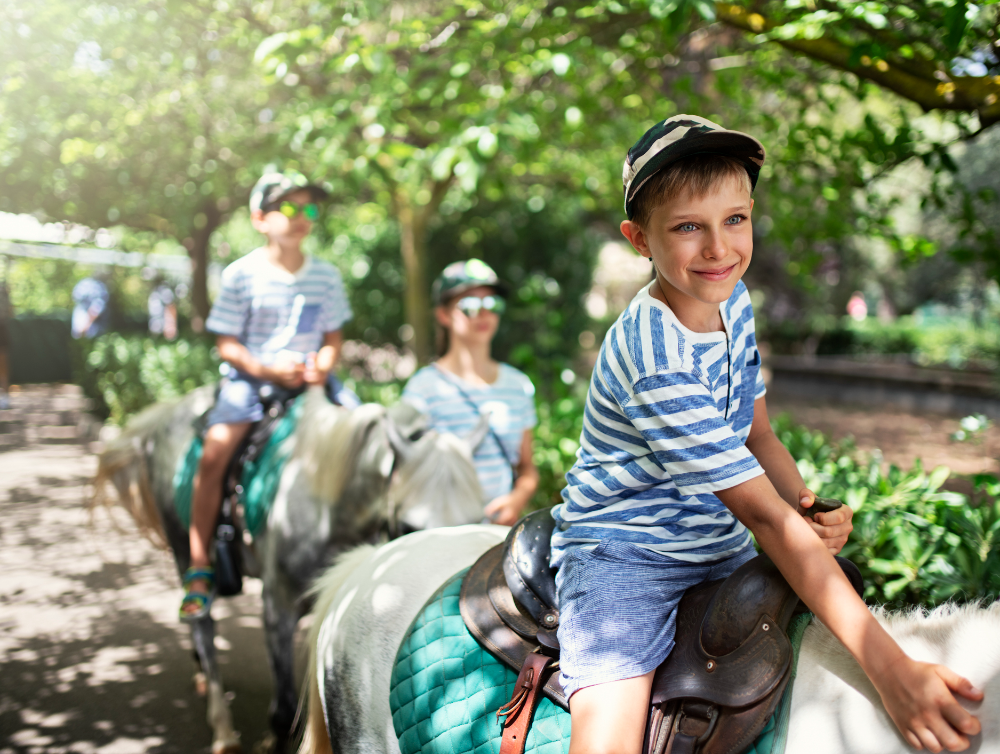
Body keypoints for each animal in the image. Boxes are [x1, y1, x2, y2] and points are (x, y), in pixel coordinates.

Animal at [92, 388, 490, 752]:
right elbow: (283, 712)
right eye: (408, 525)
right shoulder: (277, 608)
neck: (330, 504)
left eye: (478, 519)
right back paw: (221, 725)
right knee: (202, 626)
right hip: (183, 546)